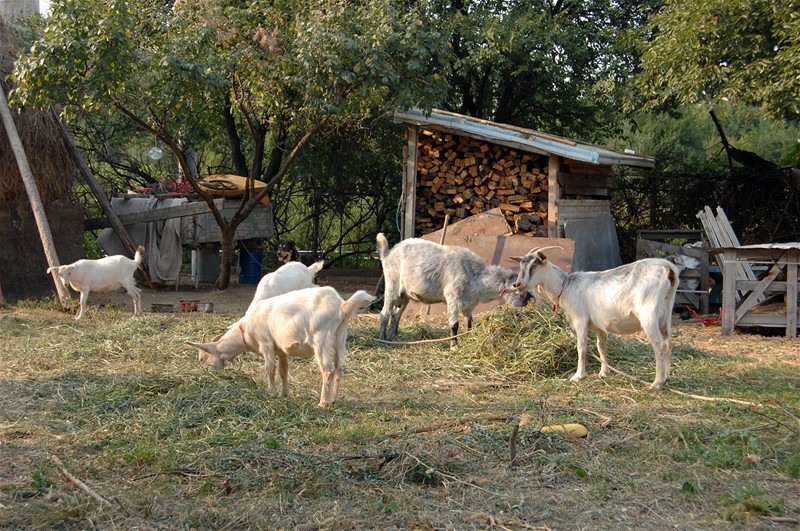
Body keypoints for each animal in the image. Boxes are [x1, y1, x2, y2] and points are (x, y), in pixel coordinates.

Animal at [191, 286, 375, 407]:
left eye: (202, 358)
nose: (209, 374)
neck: (246, 330)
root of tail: (341, 306)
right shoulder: (281, 350)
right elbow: (283, 371)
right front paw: (284, 394)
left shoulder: (266, 344)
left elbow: (269, 368)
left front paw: (271, 392)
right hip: (339, 339)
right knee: (339, 369)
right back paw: (334, 399)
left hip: (322, 339)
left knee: (328, 370)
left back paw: (323, 402)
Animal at [376, 232, 530, 349]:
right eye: (518, 288)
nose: (527, 302)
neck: (475, 277)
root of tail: (388, 253)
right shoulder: (453, 298)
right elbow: (454, 325)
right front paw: (454, 345)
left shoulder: (469, 303)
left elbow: (469, 322)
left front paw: (469, 337)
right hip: (392, 287)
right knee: (385, 314)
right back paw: (383, 339)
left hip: (405, 296)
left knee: (396, 315)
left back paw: (394, 337)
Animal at [510, 247, 679, 389]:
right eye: (521, 266)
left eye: (534, 266)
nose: (517, 284)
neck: (564, 286)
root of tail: (667, 268)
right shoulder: (599, 326)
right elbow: (601, 346)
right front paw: (604, 372)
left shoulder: (580, 320)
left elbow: (581, 346)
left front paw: (578, 376)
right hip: (666, 314)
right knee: (668, 342)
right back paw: (666, 378)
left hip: (648, 315)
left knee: (658, 345)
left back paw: (657, 383)